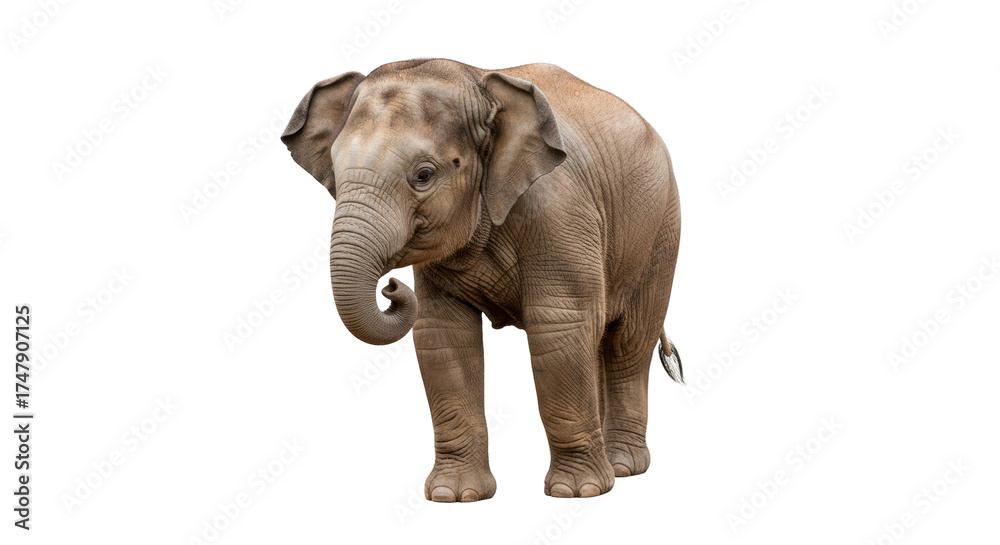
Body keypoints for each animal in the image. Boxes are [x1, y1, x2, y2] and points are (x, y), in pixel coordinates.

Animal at [281, 58, 683, 501]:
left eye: (423, 175)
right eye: (334, 173)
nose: (391, 287)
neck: (480, 83)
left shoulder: (559, 210)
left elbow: (558, 326)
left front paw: (576, 492)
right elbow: (444, 336)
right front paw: (453, 496)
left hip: (661, 231)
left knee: (629, 341)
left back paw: (624, 469)